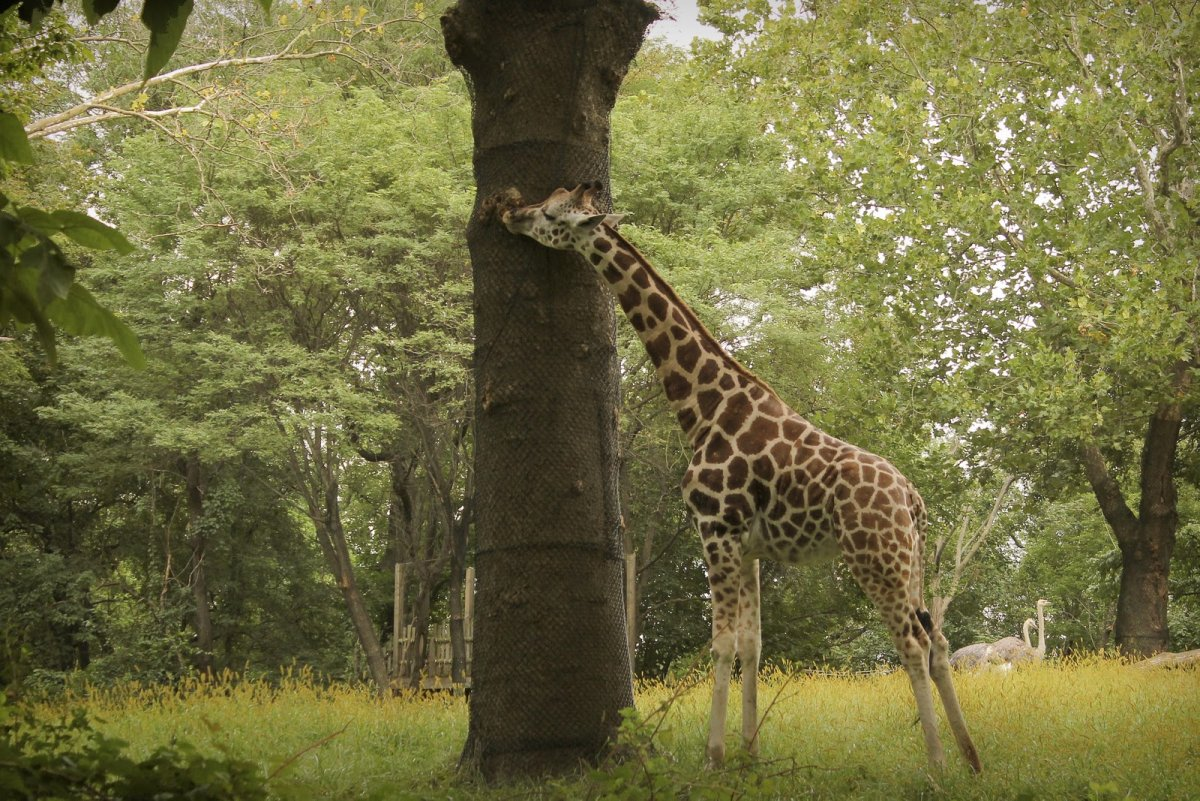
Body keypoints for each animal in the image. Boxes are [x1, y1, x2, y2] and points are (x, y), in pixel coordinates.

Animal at [501, 183, 979, 777]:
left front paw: (714, 757)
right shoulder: (750, 546)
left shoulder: (716, 530)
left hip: (873, 558)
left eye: (550, 212)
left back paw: (936, 764)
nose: (511, 213)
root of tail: (914, 501)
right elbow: (752, 644)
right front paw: (751, 752)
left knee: (912, 643)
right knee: (938, 640)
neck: (703, 409)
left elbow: (721, 644)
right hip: (909, 561)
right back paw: (970, 758)